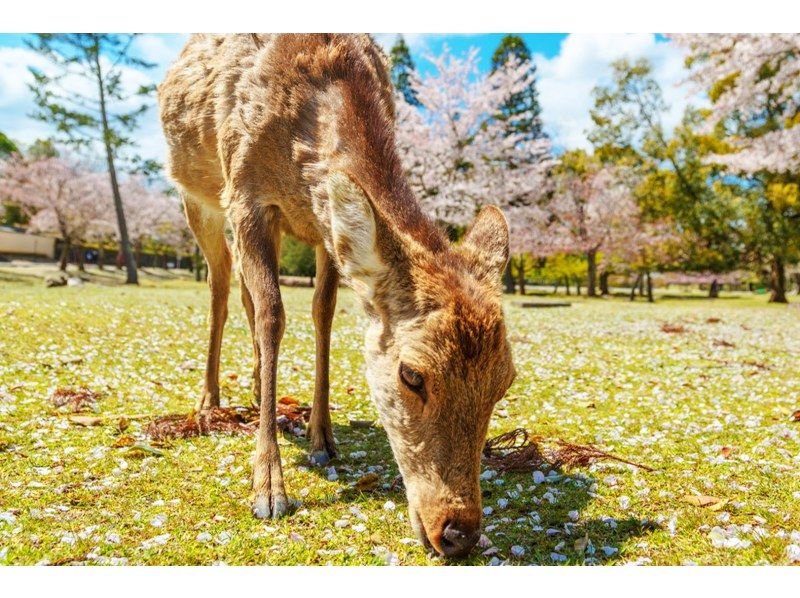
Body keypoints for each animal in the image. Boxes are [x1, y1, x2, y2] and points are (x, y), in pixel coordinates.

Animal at [159, 32, 516, 560]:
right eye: (412, 375)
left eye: (505, 381)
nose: (458, 532)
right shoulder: (245, 195)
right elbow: (273, 315)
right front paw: (268, 488)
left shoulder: (324, 227)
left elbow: (322, 314)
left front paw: (321, 438)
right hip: (197, 197)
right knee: (221, 287)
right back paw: (209, 400)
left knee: (245, 293)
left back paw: (255, 386)